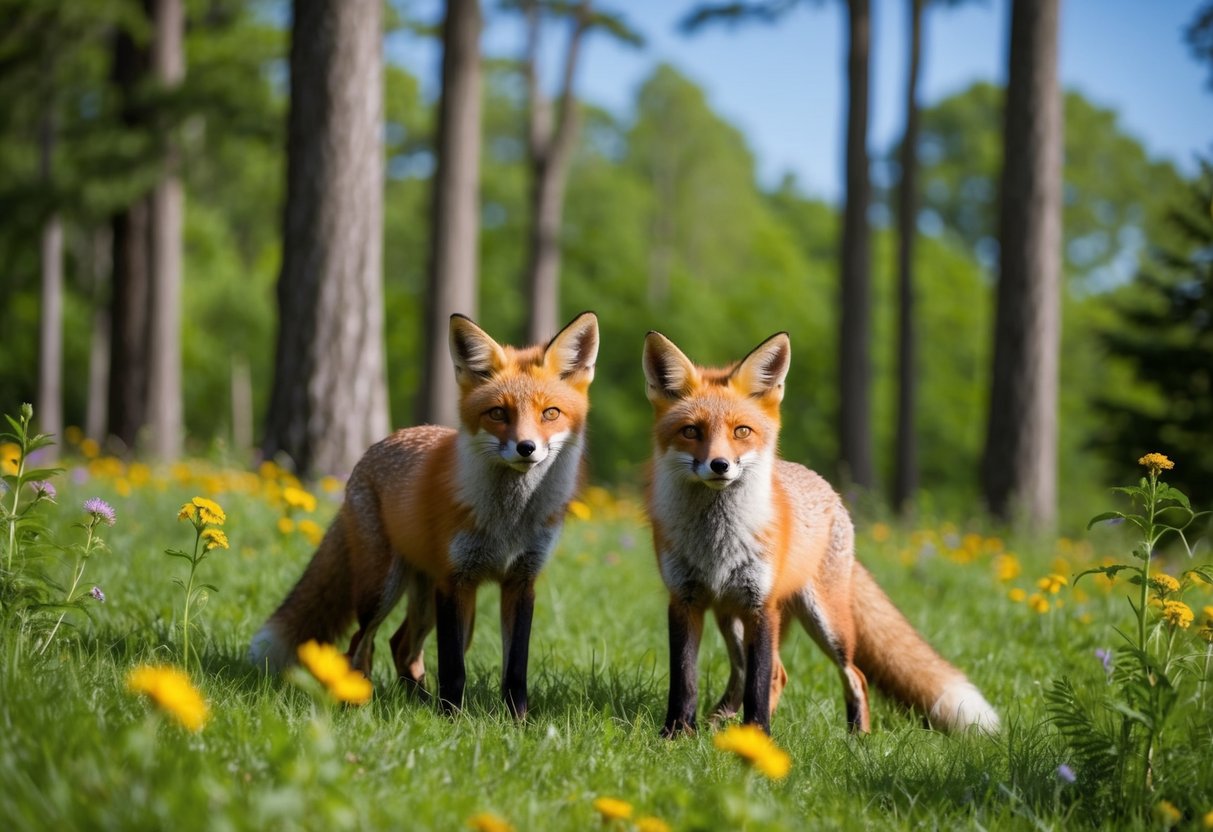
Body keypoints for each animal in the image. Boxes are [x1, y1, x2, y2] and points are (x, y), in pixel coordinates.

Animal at [249, 311, 600, 718]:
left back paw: (417, 700)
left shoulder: (521, 581)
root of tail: (383, 442)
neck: (508, 522)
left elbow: (515, 669)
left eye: (550, 413)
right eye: (498, 413)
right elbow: (452, 667)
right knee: (360, 642)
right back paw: (359, 701)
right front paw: (451, 720)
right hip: (383, 589)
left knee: (401, 646)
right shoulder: (453, 581)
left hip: (441, 602)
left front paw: (518, 722)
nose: (526, 448)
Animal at [642, 330, 999, 737]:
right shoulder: (684, 600)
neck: (716, 541)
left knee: (846, 674)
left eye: (741, 431)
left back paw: (856, 738)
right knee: (761, 673)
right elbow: (684, 678)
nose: (720, 465)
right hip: (729, 616)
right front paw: (676, 735)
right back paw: (721, 725)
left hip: (825, 623)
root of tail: (829, 489)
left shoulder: (761, 606)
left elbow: (758, 685)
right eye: (691, 431)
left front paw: (759, 734)